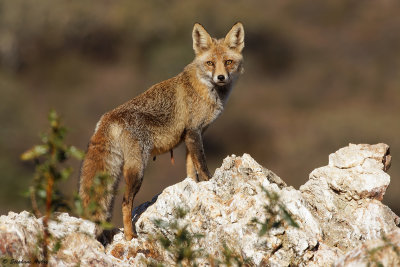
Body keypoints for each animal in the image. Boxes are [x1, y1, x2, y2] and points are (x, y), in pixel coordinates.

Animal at [79, 22, 244, 242]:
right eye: (210, 63)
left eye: (228, 62)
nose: (221, 77)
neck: (205, 90)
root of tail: (107, 117)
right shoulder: (194, 132)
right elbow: (203, 168)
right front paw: (210, 185)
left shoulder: (191, 136)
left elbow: (191, 170)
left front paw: (193, 187)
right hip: (138, 169)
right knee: (125, 202)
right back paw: (130, 236)